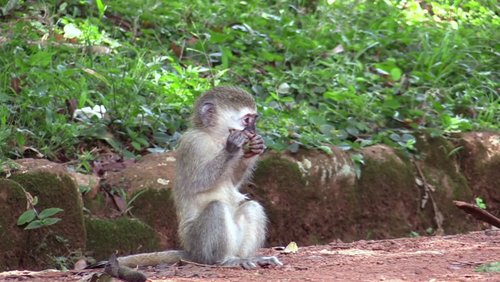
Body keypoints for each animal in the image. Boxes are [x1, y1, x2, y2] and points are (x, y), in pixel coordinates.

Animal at [114, 87, 284, 270]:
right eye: (247, 120)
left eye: (254, 119)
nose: (253, 131)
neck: (214, 137)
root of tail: (190, 252)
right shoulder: (194, 144)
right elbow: (198, 182)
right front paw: (232, 148)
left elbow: (233, 182)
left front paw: (254, 149)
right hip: (198, 244)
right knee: (216, 208)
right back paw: (224, 260)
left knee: (252, 207)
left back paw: (247, 258)